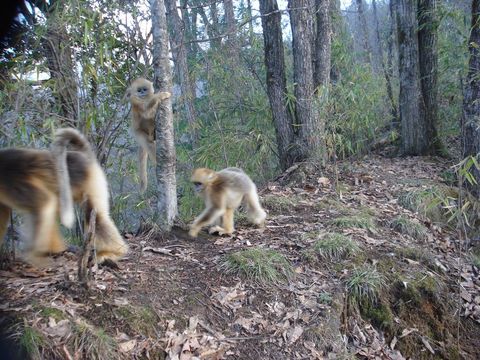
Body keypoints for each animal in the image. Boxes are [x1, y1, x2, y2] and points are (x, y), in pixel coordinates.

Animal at [0, 128, 128, 266]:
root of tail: (85, 157)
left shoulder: (12, 181)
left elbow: (44, 202)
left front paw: (33, 256)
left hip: (93, 180)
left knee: (94, 214)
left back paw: (114, 252)